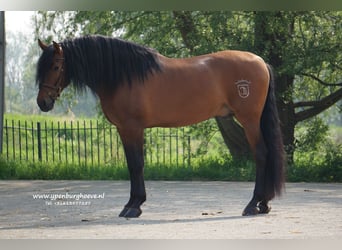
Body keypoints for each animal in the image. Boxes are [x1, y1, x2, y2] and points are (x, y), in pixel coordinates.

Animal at [36, 34, 284, 218]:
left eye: (56, 66)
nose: (42, 102)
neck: (124, 76)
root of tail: (260, 61)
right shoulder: (124, 130)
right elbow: (132, 165)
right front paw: (131, 204)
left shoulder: (132, 128)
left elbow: (136, 164)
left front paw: (134, 206)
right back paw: (263, 204)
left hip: (249, 119)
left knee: (261, 153)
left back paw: (253, 204)